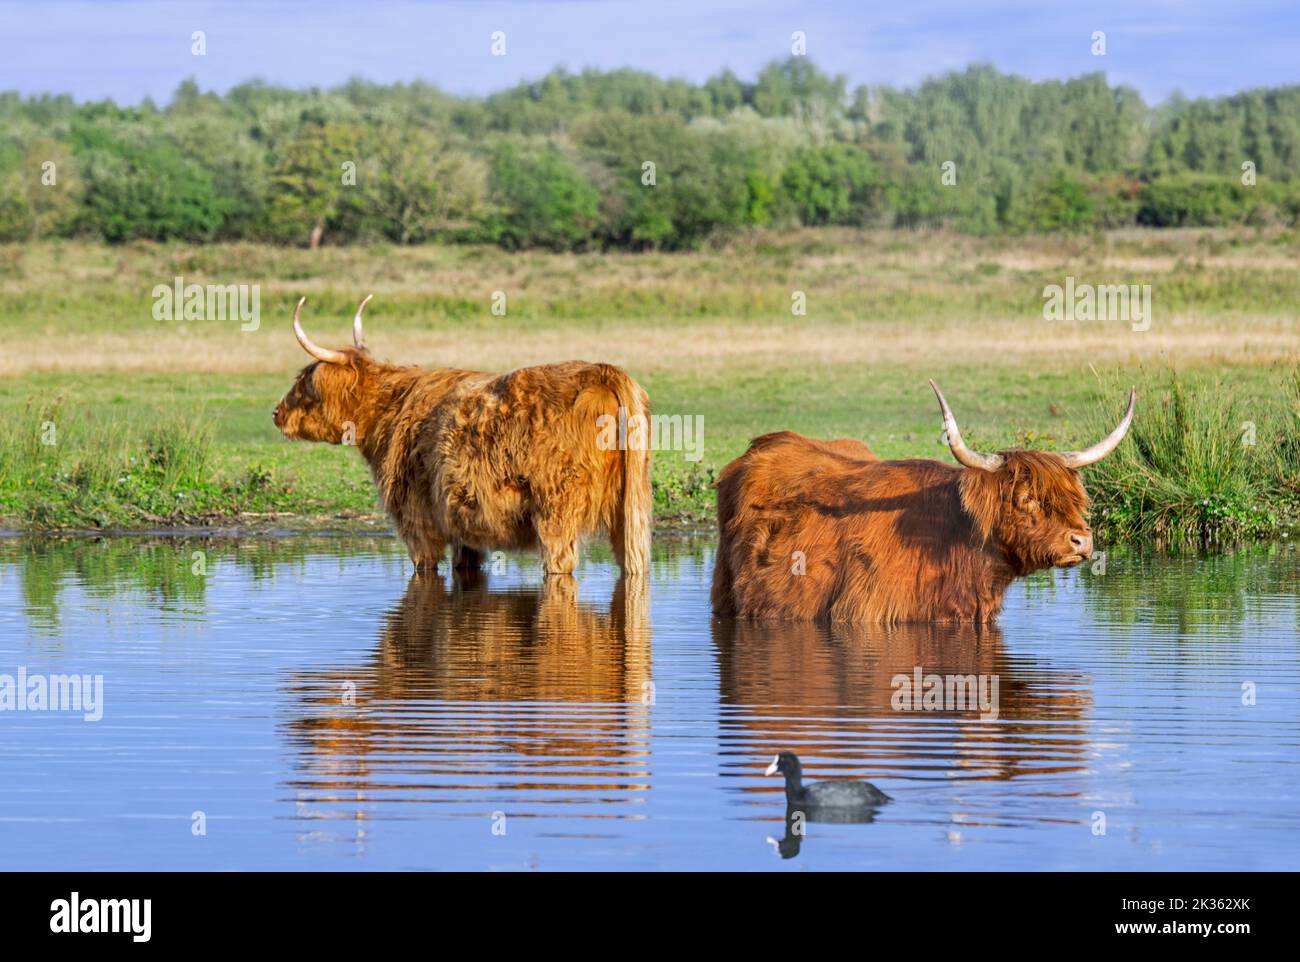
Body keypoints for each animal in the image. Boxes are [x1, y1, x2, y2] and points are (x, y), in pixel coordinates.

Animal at [270, 296, 650, 574]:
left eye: (302, 382)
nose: (276, 413)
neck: (389, 410)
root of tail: (602, 371)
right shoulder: (465, 529)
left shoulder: (416, 520)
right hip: (632, 513)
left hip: (555, 510)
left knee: (560, 564)